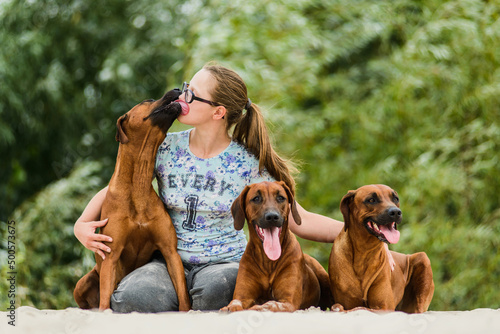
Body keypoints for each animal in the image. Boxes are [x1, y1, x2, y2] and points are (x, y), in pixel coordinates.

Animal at [73, 89, 190, 310]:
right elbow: (104, 302)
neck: (138, 186)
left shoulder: (170, 252)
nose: (178, 90)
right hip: (83, 282)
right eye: (148, 100)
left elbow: (183, 296)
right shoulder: (110, 256)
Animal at [220, 181, 330, 312]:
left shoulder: (288, 301)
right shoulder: (243, 296)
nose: (272, 217)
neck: (268, 261)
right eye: (256, 198)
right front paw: (230, 308)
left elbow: (271, 304)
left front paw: (259, 307)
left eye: (280, 198)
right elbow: (235, 302)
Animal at [328, 185, 434, 314]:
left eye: (395, 198)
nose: (396, 212)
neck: (364, 252)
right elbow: (347, 306)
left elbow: (362, 308)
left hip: (423, 258)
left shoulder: (385, 307)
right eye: (371, 200)